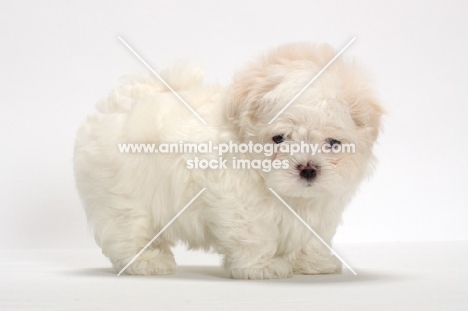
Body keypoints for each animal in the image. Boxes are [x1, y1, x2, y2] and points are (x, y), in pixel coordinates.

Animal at [74, 42, 384, 280]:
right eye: (279, 138)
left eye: (333, 143)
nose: (308, 169)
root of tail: (122, 104)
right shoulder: (240, 203)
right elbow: (253, 233)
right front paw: (263, 267)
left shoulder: (319, 208)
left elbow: (310, 235)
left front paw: (313, 263)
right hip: (124, 196)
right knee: (128, 229)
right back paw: (145, 261)